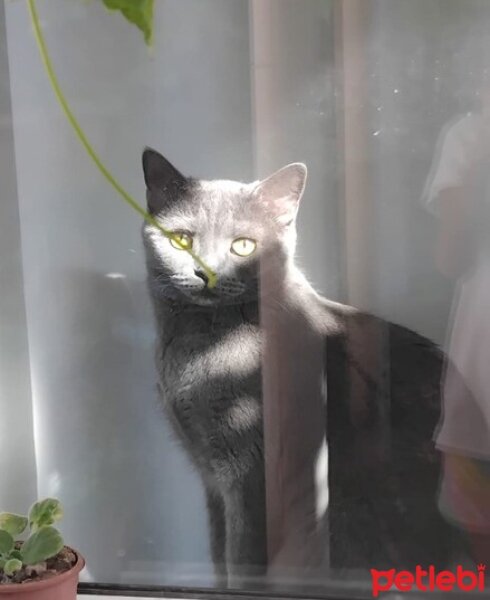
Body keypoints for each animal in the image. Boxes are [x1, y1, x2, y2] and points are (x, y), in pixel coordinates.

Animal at [142, 148, 460, 588]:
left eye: (243, 246)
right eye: (182, 240)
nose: (206, 272)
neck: (198, 347)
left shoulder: (250, 471)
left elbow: (241, 557)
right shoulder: (210, 476)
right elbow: (218, 550)